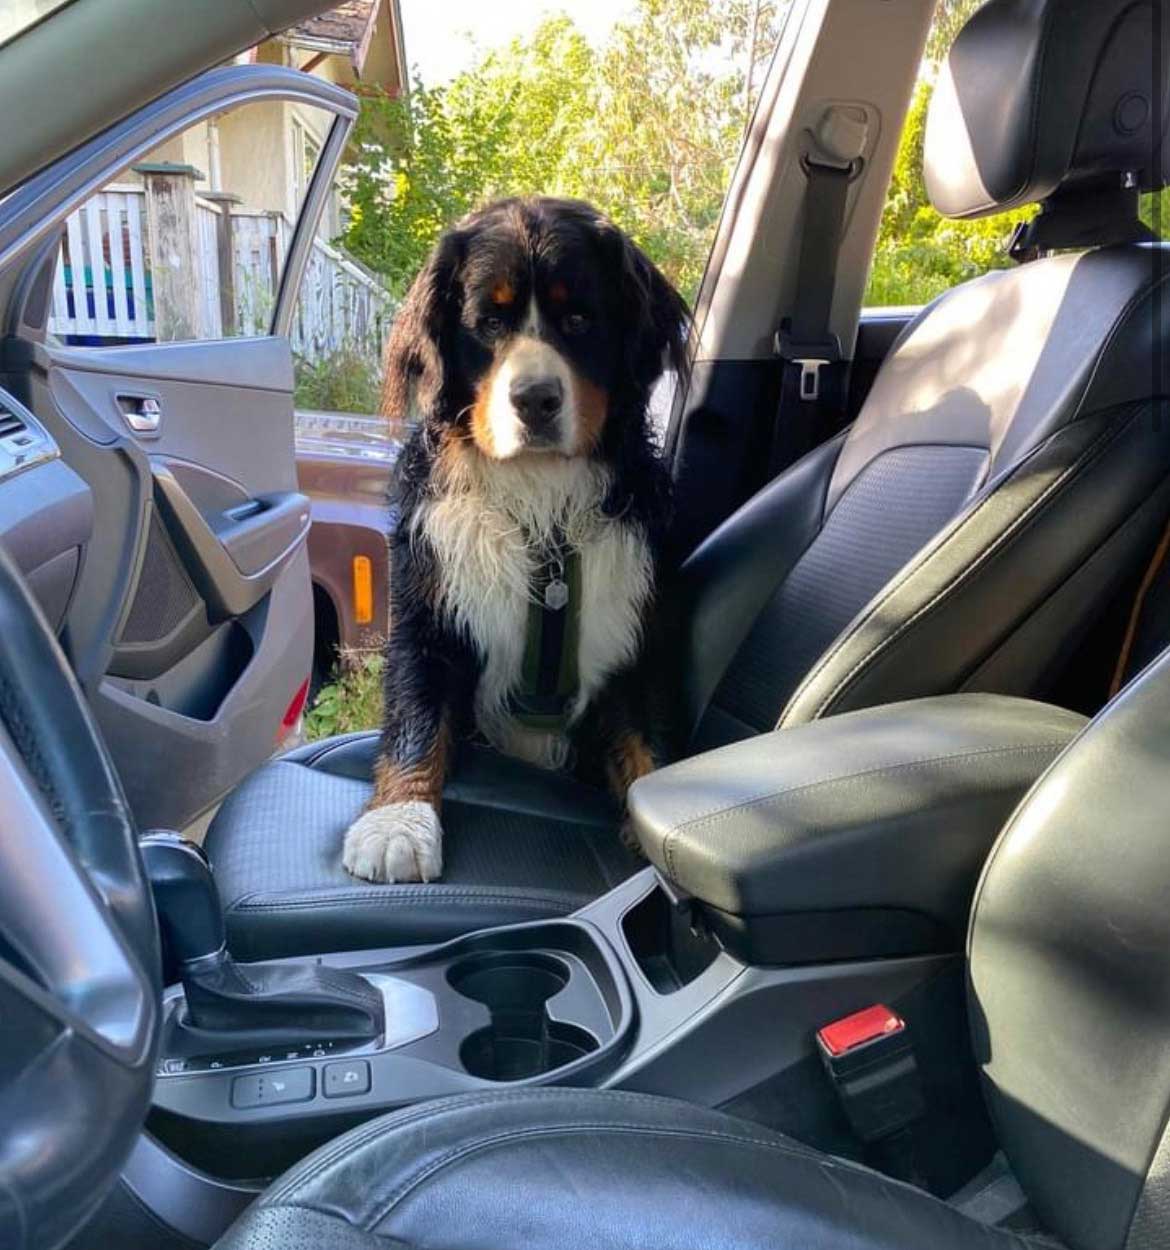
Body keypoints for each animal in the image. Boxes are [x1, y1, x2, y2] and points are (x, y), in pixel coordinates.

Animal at [342, 195, 690, 885]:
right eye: (489, 323)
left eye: (579, 318)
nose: (535, 399)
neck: (539, 503)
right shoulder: (427, 606)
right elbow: (416, 710)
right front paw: (397, 822)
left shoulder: (643, 624)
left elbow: (648, 732)